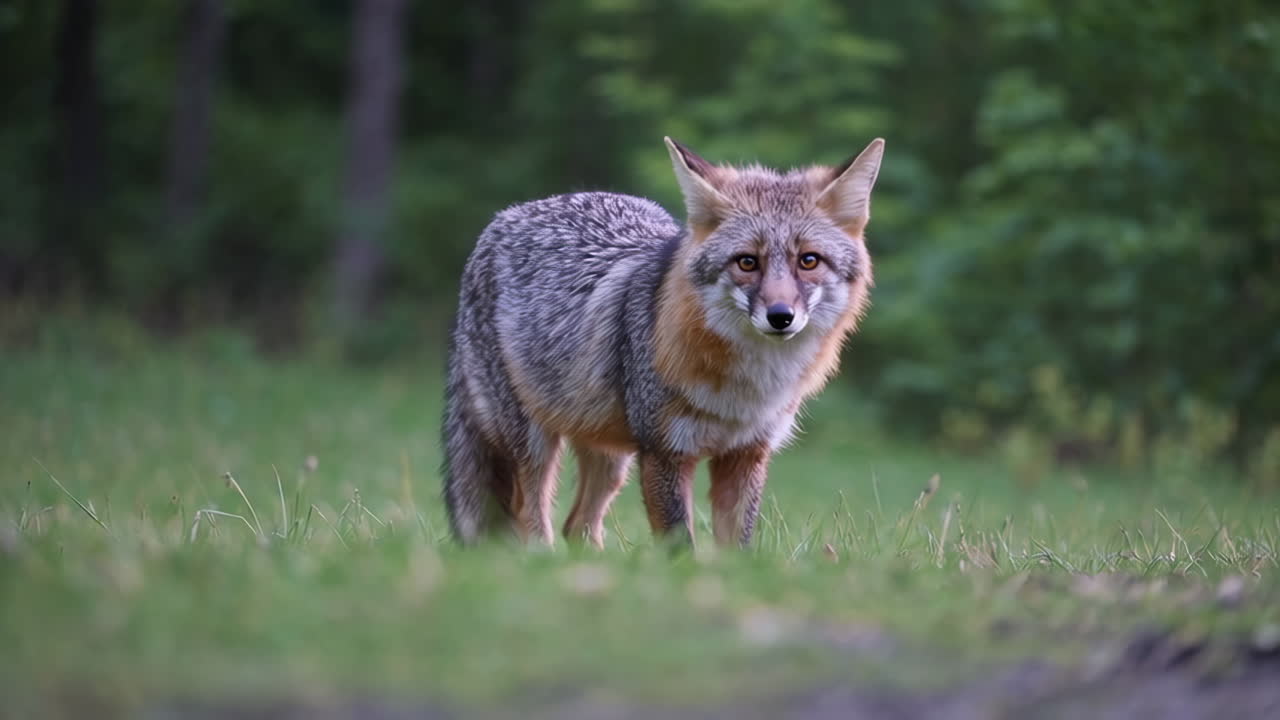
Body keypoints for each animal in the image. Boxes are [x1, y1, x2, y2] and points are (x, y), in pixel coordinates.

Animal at [442, 136, 884, 548]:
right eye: (747, 262)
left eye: (808, 261)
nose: (780, 316)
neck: (746, 389)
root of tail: (506, 216)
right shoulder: (664, 452)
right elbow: (679, 547)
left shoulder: (745, 454)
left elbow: (737, 549)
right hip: (534, 443)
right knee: (529, 519)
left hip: (611, 457)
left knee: (577, 527)